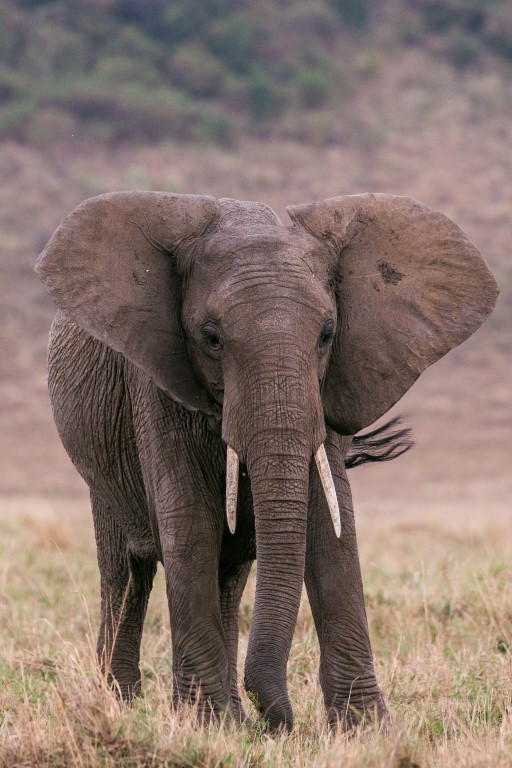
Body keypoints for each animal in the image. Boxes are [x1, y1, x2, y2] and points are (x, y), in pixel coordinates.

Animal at [35, 191, 498, 732]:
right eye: (211, 338)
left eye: (327, 334)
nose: (278, 722)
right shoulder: (153, 382)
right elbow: (187, 523)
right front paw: (205, 726)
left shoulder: (329, 387)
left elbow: (332, 526)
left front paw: (364, 729)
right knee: (127, 572)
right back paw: (125, 707)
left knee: (227, 577)